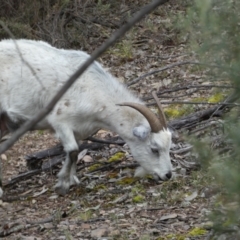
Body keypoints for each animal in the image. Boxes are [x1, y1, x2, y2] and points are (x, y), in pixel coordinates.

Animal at [0, 39, 172, 197]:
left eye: (169, 147)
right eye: (154, 149)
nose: (168, 175)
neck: (91, 88)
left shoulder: (78, 129)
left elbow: (76, 152)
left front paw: (71, 179)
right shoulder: (60, 121)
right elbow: (73, 150)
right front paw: (62, 184)